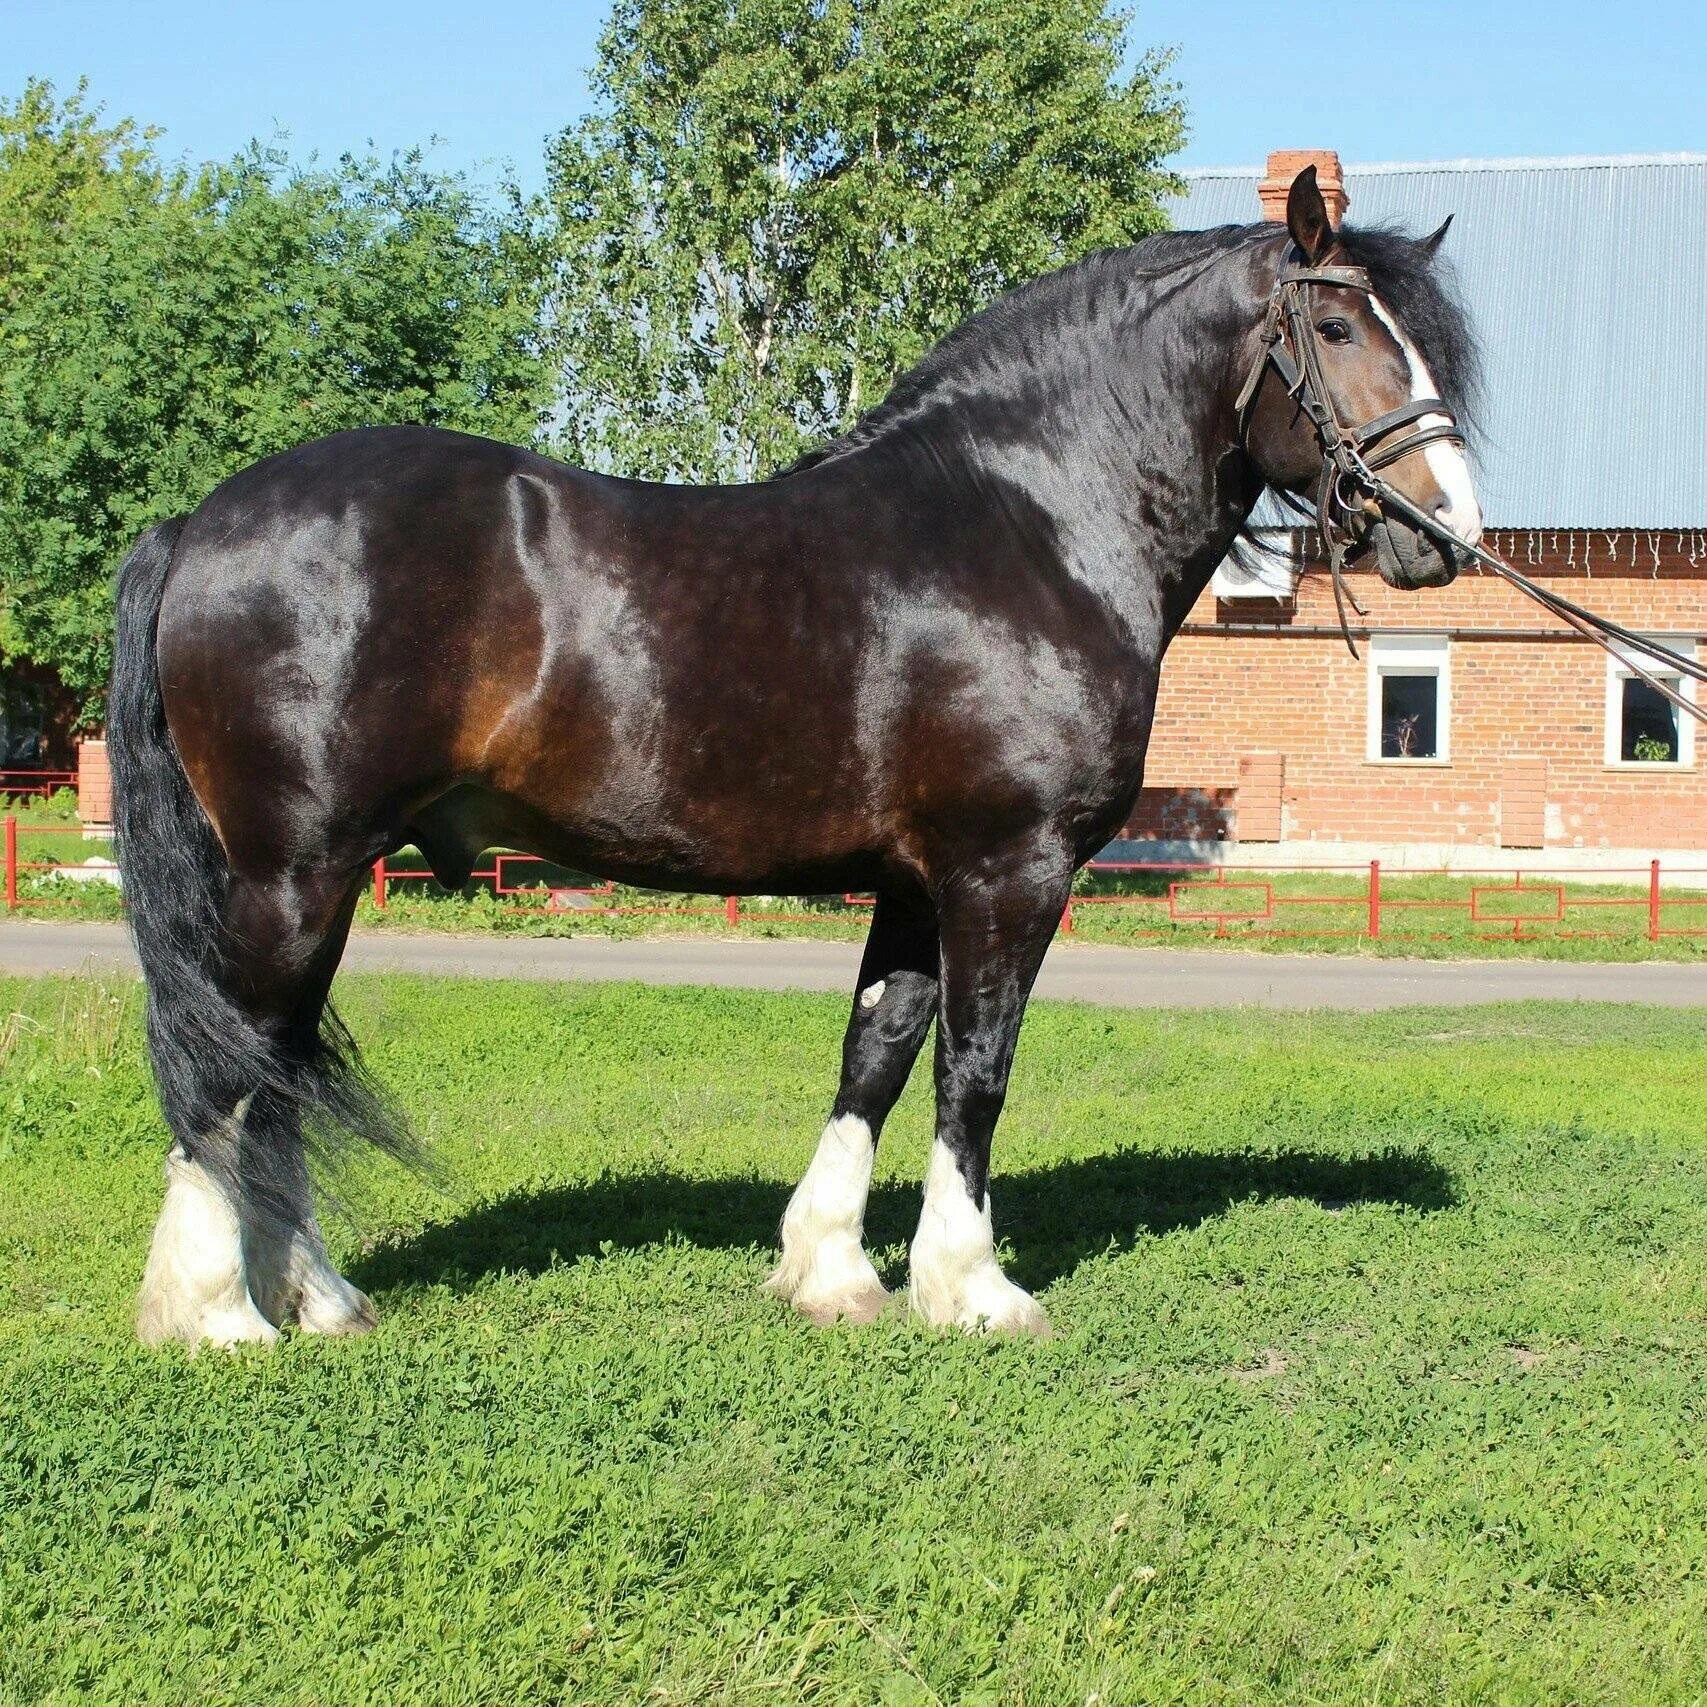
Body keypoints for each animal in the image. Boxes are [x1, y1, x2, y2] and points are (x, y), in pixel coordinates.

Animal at [110, 169, 1481, 1345]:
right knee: (226, 1070)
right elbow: (977, 1068)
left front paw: (834, 1271)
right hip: (292, 876)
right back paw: (220, 1316)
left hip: (321, 881)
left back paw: (319, 1298)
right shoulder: (1010, 870)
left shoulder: (919, 883)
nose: (1446, 532)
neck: (1027, 524)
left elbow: (877, 1052)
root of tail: (201, 522)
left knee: (273, 1069)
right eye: (1341, 329)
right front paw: (975, 1288)